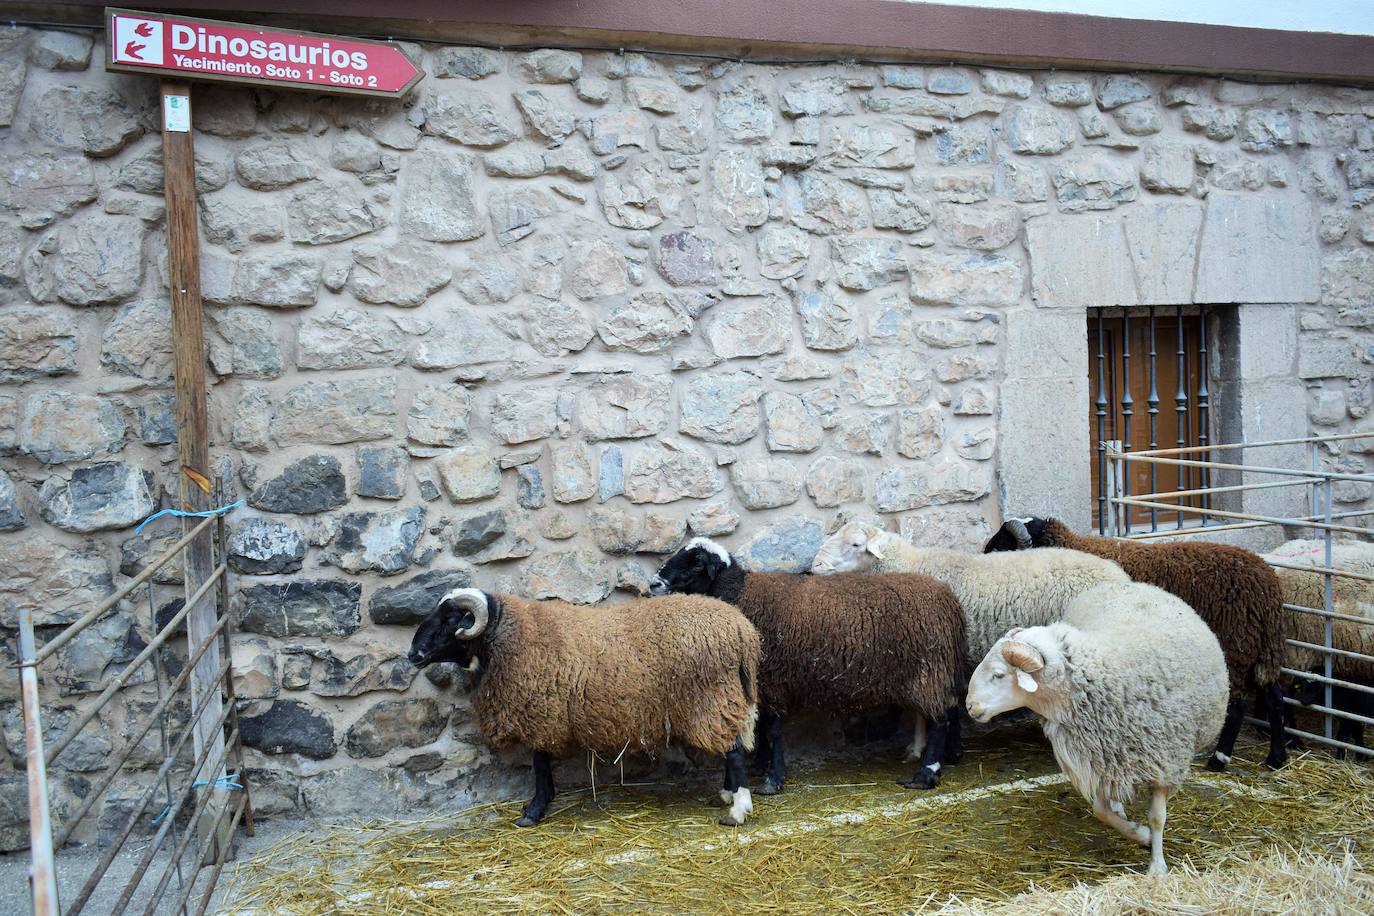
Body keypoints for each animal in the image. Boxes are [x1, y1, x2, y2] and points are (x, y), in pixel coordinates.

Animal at [406, 587, 763, 829]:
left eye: (451, 620)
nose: (413, 654)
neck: (508, 637)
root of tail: (742, 631)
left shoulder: (541, 712)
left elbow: (539, 763)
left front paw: (533, 811)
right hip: (722, 701)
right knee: (732, 746)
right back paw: (727, 795)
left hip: (711, 699)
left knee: (733, 752)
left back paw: (737, 810)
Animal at [651, 538, 967, 796]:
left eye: (696, 564)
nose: (654, 583)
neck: (741, 593)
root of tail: (948, 600)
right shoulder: (761, 683)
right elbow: (763, 726)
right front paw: (760, 764)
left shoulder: (773, 678)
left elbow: (773, 731)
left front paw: (773, 778)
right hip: (940, 669)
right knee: (951, 707)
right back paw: (952, 754)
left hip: (928, 670)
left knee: (939, 719)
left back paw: (926, 774)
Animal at [961, 585, 1231, 878]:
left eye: (999, 675)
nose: (970, 706)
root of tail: (1133, 585)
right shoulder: (1098, 758)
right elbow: (1100, 810)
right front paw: (1139, 833)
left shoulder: (1166, 764)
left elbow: (1158, 818)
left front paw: (1157, 863)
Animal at [989, 516, 1286, 774]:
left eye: (1003, 544)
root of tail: (1267, 587)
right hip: (1262, 650)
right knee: (1275, 698)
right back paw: (1276, 758)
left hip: (1235, 647)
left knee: (1236, 706)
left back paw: (1219, 759)